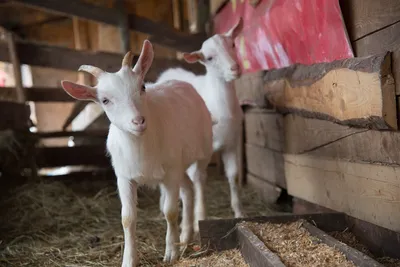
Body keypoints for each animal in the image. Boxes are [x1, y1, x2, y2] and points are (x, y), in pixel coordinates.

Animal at [60, 40, 212, 267]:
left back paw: (196, 224)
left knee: (199, 182)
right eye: (105, 100)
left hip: (201, 152)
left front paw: (171, 253)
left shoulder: (170, 173)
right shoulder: (124, 177)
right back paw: (185, 237)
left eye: (142, 87)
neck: (141, 145)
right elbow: (127, 219)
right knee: (187, 190)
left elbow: (170, 212)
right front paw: (129, 260)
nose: (138, 121)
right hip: (177, 165)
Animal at [155, 17, 244, 224]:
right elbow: (199, 178)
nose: (235, 68)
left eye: (233, 44)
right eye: (209, 58)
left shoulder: (231, 142)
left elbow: (234, 175)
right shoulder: (203, 149)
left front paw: (239, 213)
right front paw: (200, 217)